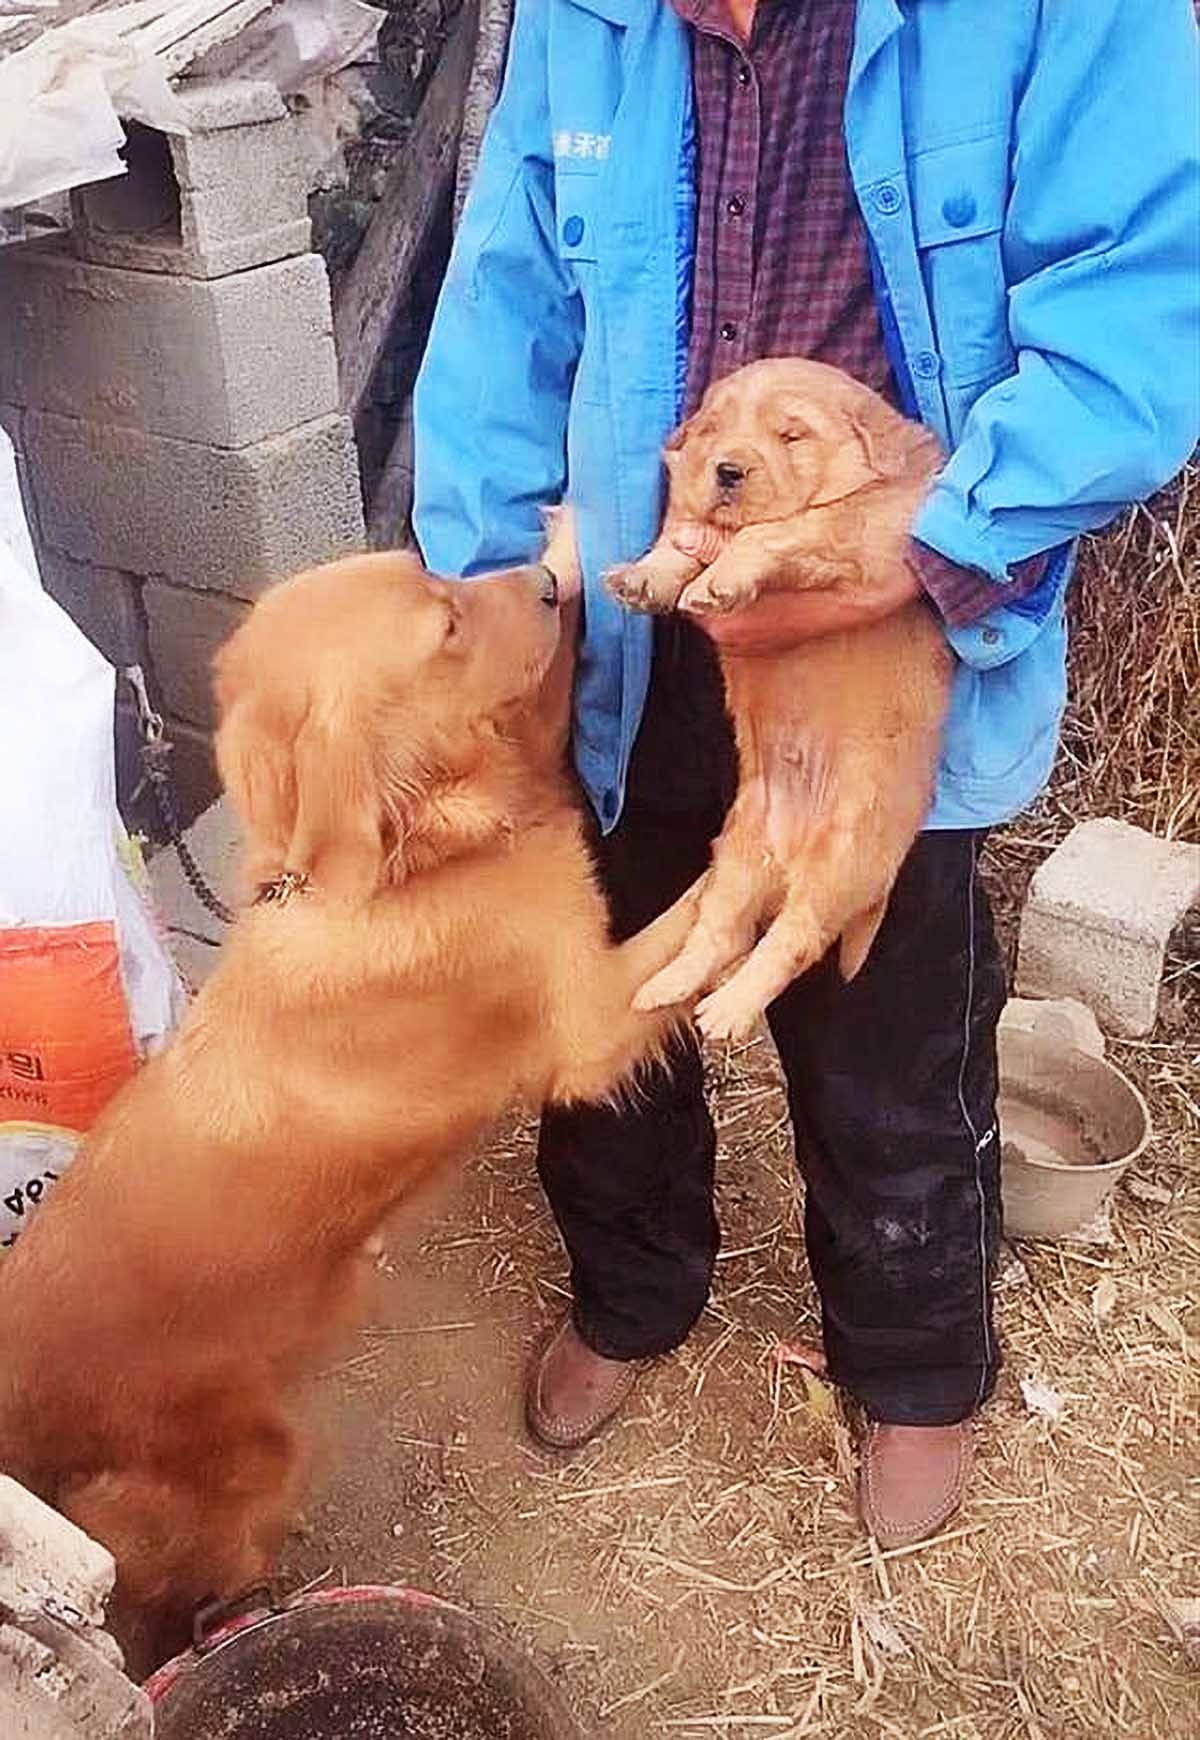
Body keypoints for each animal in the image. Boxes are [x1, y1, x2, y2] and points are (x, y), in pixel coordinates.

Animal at [0, 522, 692, 1663]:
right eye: (445, 623)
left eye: (440, 571)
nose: (550, 586)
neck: (396, 870)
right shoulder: (590, 1023)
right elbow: (717, 902)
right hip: (246, 1469)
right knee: (180, 1599)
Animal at [608, 353, 953, 1030]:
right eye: (713, 429)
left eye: (791, 436)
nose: (727, 470)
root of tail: (790, 852)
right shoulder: (690, 511)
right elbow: (678, 537)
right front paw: (645, 577)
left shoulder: (856, 529)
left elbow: (770, 533)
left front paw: (717, 581)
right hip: (737, 851)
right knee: (724, 932)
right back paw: (666, 987)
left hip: (841, 859)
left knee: (791, 942)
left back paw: (728, 1012)